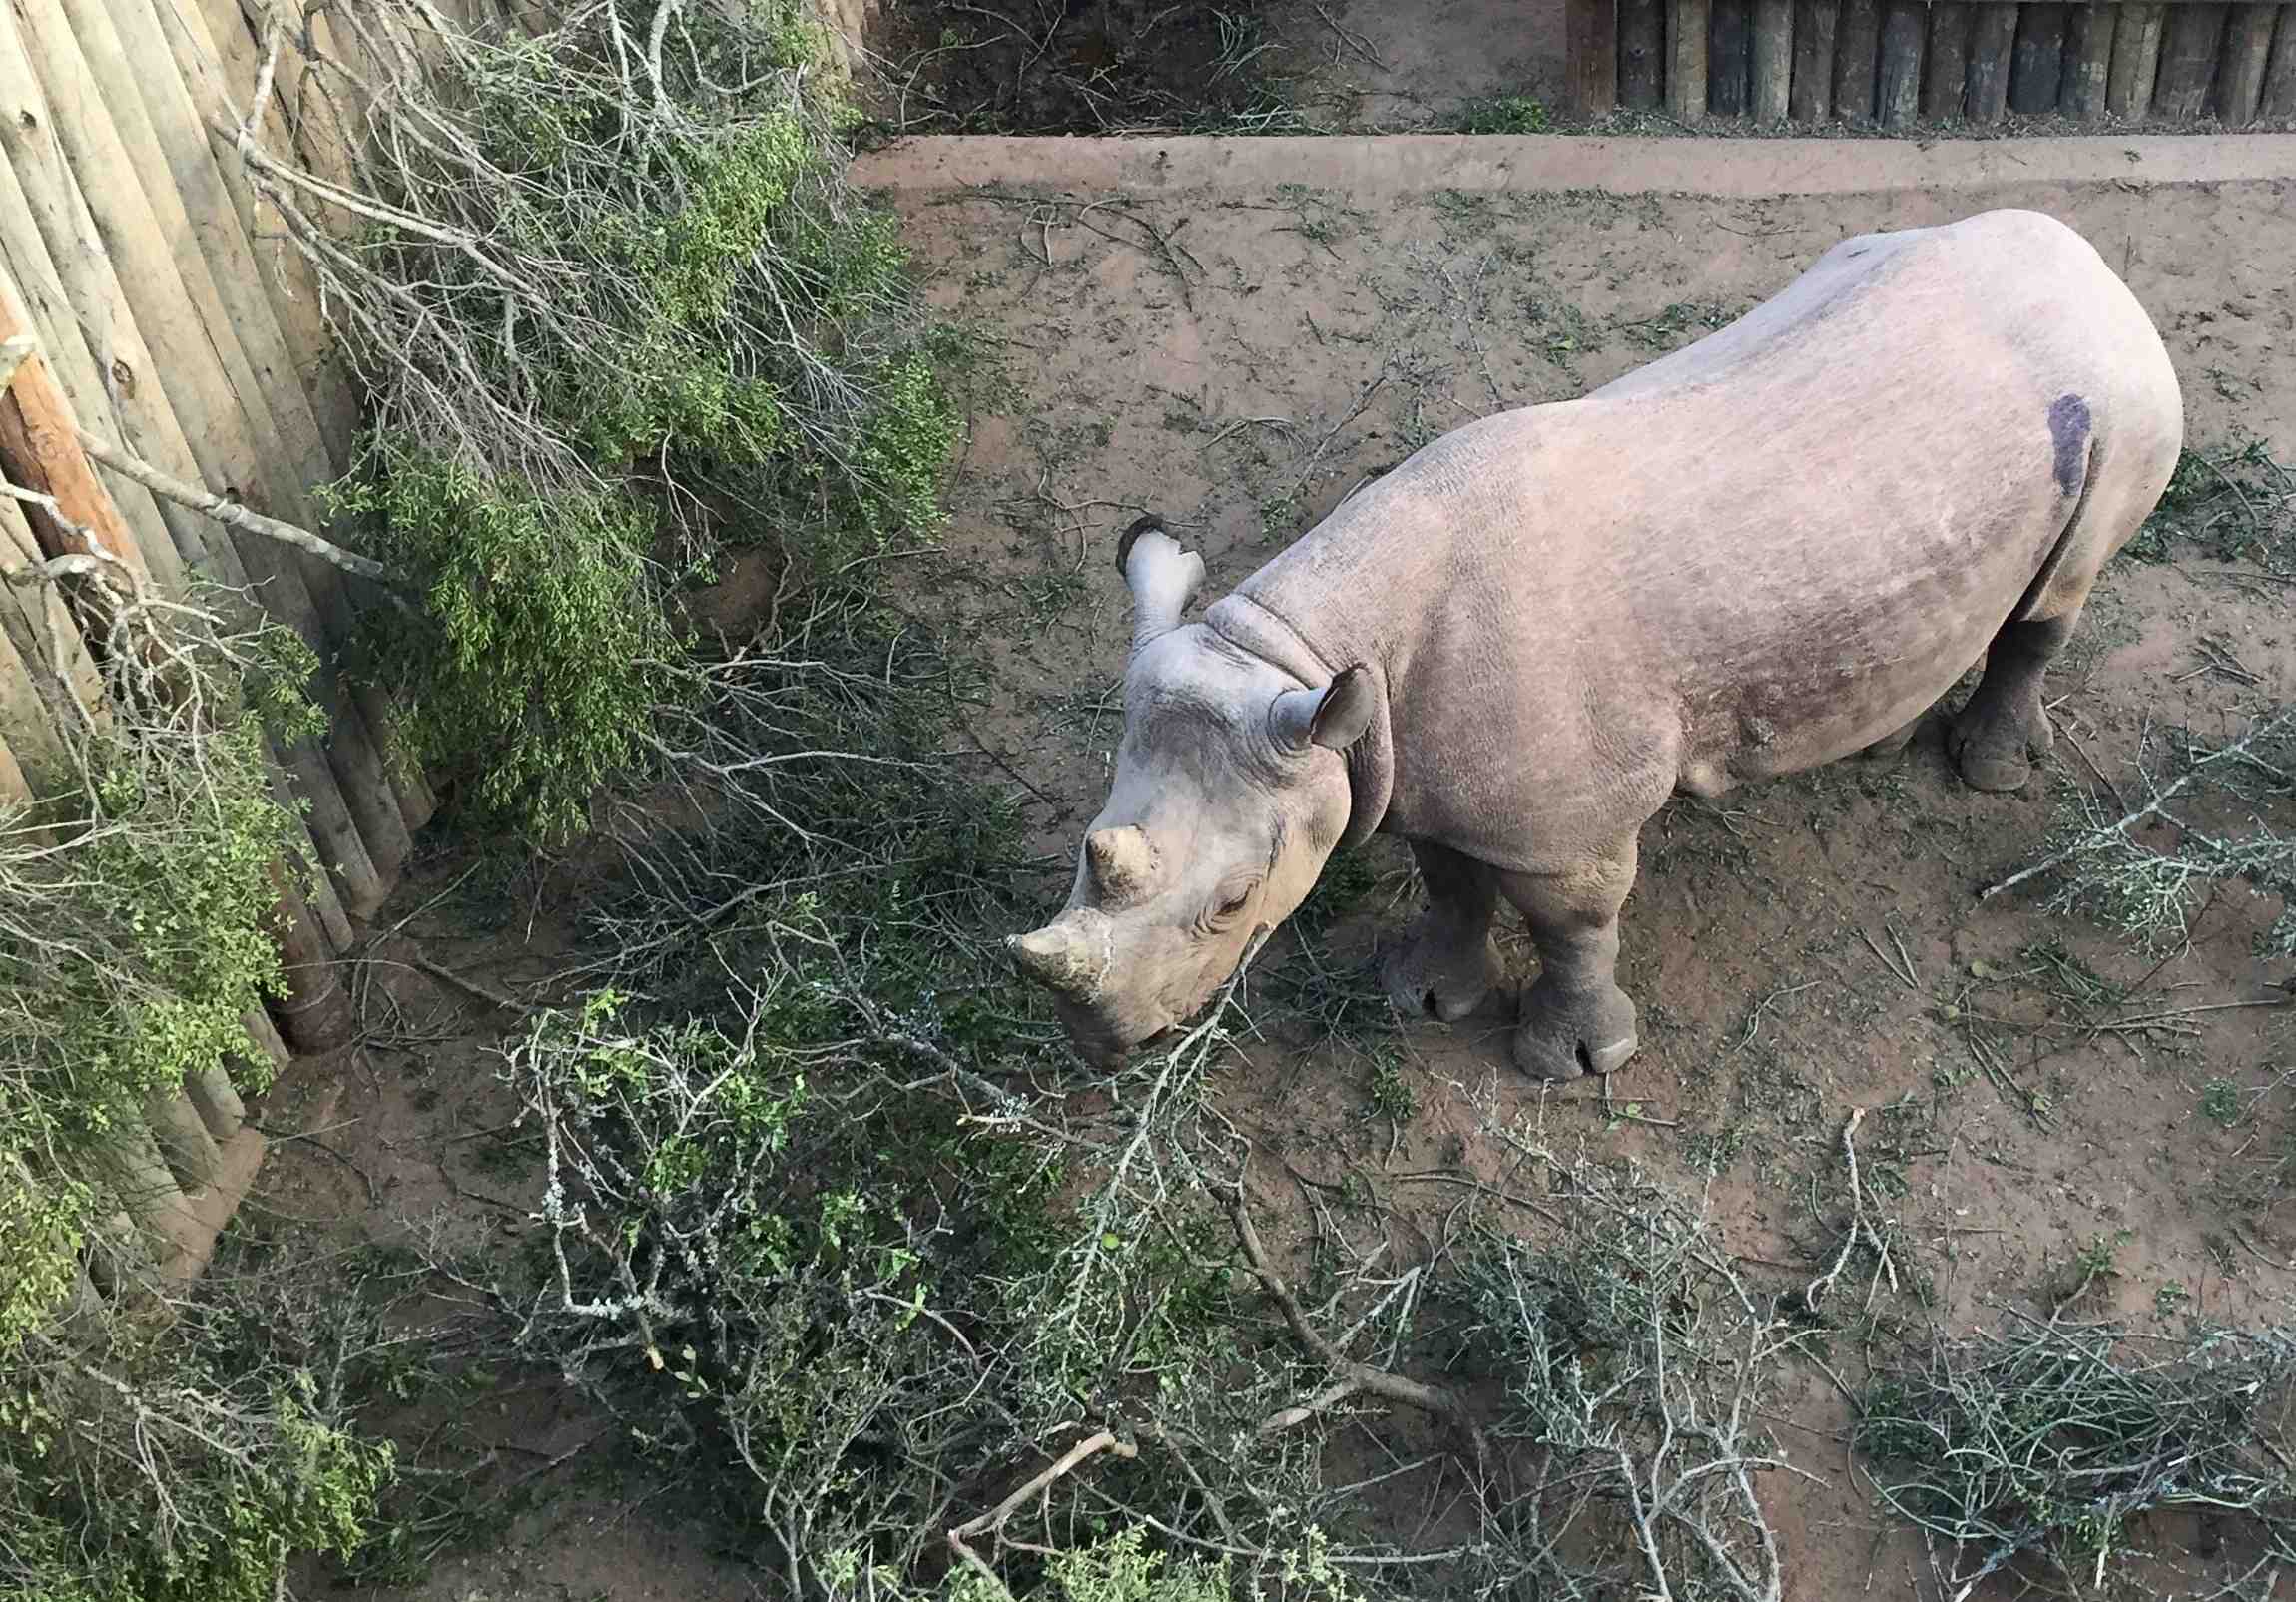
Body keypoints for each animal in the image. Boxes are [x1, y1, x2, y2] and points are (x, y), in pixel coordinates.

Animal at [1006, 208, 2183, 1081]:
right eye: (1087, 846)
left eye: (1231, 905)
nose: (1099, 1045)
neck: (1294, 653)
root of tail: (2090, 259)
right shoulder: (1410, 755)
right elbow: (1450, 880)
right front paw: (1421, 996)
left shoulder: (1564, 820)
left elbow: (1574, 919)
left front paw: (1575, 1062)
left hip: (2123, 391)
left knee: (2060, 587)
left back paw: (1989, 774)